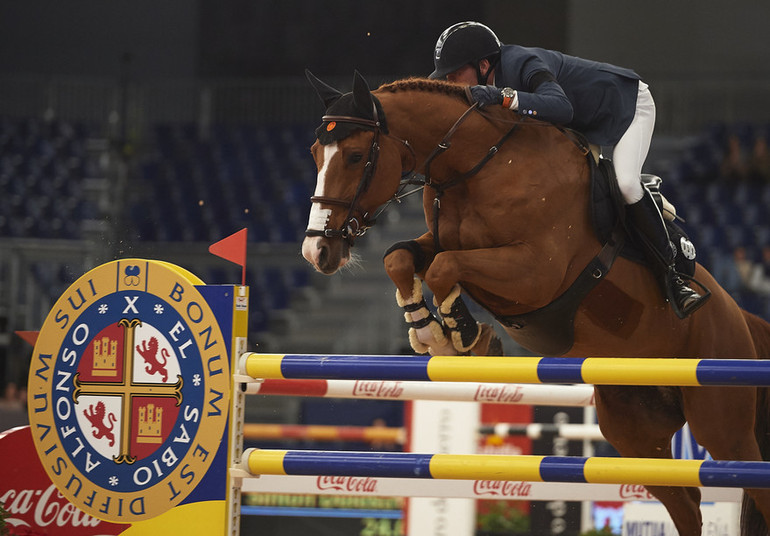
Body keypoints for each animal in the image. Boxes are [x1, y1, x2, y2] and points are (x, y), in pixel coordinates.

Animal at [296, 71, 768, 536]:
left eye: (355, 156)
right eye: (316, 153)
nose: (317, 251)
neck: (479, 165)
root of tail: (741, 316)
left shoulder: (536, 271)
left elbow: (444, 268)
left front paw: (463, 336)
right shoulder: (446, 242)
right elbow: (401, 258)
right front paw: (433, 332)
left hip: (720, 421)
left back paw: (684, 291)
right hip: (636, 434)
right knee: (685, 505)